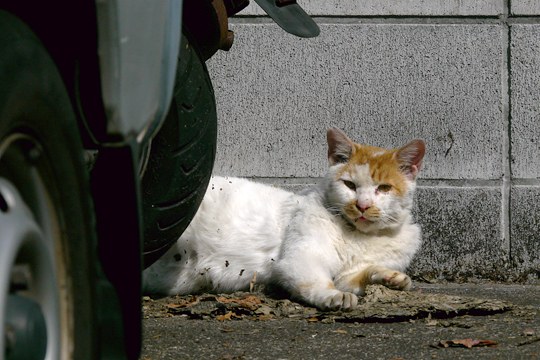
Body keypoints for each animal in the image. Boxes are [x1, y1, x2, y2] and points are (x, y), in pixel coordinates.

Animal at [143, 128, 426, 310]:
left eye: (384, 188)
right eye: (350, 185)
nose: (363, 205)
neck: (361, 237)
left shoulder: (349, 275)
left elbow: (362, 274)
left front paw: (392, 278)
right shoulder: (300, 258)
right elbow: (317, 281)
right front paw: (333, 296)